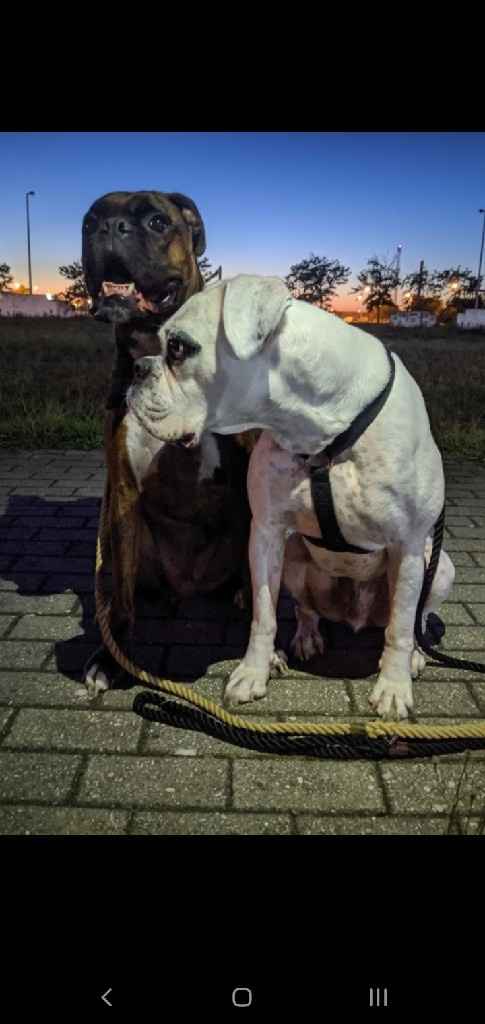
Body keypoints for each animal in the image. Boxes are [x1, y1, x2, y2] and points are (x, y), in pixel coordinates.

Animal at [79, 192, 251, 696]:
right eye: (90, 221)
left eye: (157, 221)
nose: (109, 227)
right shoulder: (124, 490)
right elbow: (120, 600)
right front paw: (111, 656)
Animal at [125, 274, 454, 720]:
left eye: (177, 347)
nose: (138, 369)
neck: (322, 429)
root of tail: (353, 615)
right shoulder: (265, 534)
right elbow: (263, 615)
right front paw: (253, 672)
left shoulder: (407, 546)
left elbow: (401, 626)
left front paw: (393, 686)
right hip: (296, 559)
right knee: (306, 606)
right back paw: (307, 636)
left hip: (437, 565)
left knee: (416, 616)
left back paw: (416, 655)